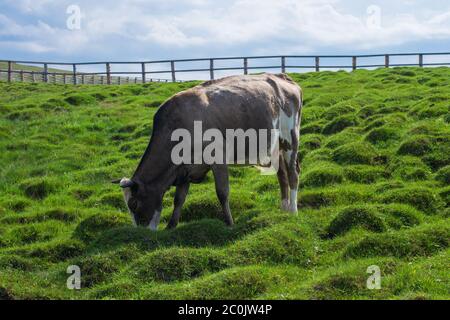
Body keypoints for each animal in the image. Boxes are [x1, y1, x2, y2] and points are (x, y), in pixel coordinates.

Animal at [112, 73, 302, 230]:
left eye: (134, 204)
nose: (141, 233)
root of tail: (282, 77)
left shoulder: (218, 158)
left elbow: (222, 193)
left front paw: (230, 223)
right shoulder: (183, 168)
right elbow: (178, 199)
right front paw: (171, 226)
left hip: (290, 139)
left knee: (293, 173)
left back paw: (293, 210)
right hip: (275, 147)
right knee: (282, 175)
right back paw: (284, 208)